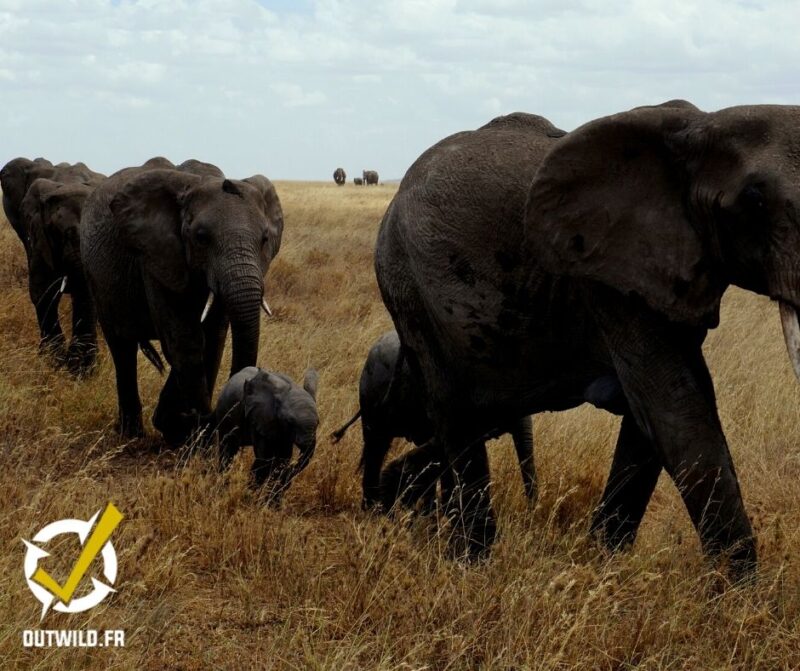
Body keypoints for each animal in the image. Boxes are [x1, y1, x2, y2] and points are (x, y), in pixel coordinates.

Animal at [83, 160, 282, 444]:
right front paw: (193, 436)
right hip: (97, 279)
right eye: (201, 237)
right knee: (122, 348)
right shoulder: (155, 256)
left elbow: (213, 338)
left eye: (265, 239)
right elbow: (184, 340)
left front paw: (183, 429)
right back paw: (131, 435)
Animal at [212, 368, 318, 498]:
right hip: (225, 415)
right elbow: (266, 458)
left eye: (318, 423)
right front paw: (253, 494)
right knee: (228, 450)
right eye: (290, 422)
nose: (290, 470)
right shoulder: (258, 418)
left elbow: (283, 457)